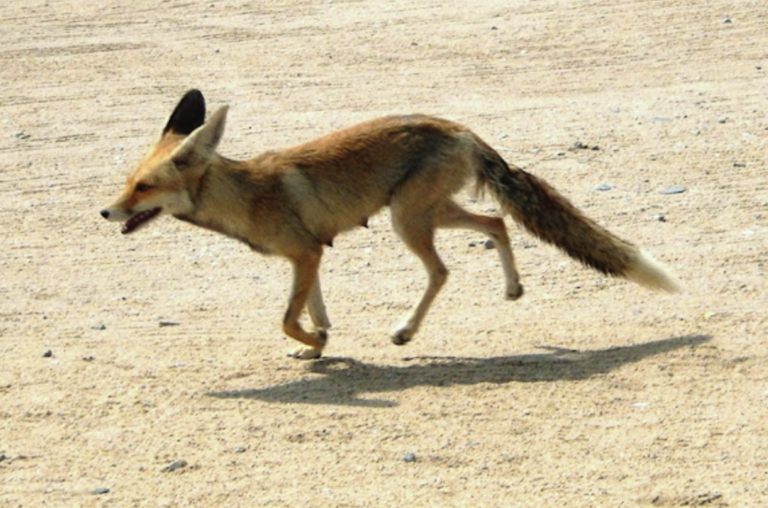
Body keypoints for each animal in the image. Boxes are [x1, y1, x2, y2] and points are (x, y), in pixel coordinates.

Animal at [101, 89, 680, 359]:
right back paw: (513, 288)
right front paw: (318, 344)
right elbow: (316, 310)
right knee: (496, 222)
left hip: (408, 220)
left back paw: (405, 330)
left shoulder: (305, 254)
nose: (105, 213)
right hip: (430, 212)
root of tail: (461, 129)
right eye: (128, 183)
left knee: (444, 270)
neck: (245, 194)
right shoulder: (310, 254)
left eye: (144, 188)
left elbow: (288, 317)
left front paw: (310, 342)